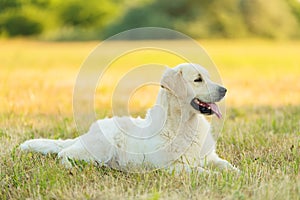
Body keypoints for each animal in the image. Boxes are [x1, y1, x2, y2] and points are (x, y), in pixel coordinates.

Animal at [19, 63, 238, 173]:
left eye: (208, 77)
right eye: (198, 80)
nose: (225, 90)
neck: (185, 124)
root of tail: (88, 132)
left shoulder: (210, 158)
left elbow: (227, 166)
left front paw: (237, 175)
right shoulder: (173, 167)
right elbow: (203, 172)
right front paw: (215, 178)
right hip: (100, 148)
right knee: (64, 154)